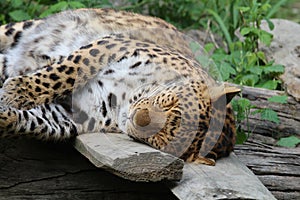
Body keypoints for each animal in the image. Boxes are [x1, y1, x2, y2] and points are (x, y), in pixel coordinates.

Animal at [0, 7, 240, 165]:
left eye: (160, 140)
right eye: (169, 102)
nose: (137, 117)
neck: (128, 96)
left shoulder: (71, 114)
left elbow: (29, 121)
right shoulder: (111, 45)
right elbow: (67, 71)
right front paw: (16, 91)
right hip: (19, 29)